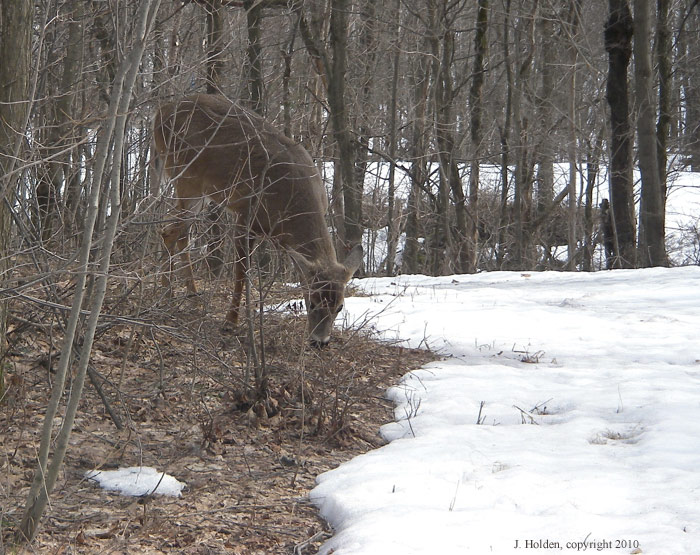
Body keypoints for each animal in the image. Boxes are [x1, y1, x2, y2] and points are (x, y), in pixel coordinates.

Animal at [152, 94, 363, 347]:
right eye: (312, 302)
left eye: (339, 307)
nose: (319, 342)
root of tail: (159, 112)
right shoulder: (245, 216)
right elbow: (242, 273)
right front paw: (230, 322)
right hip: (185, 177)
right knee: (171, 230)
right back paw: (166, 295)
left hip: (199, 192)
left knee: (176, 231)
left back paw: (189, 295)